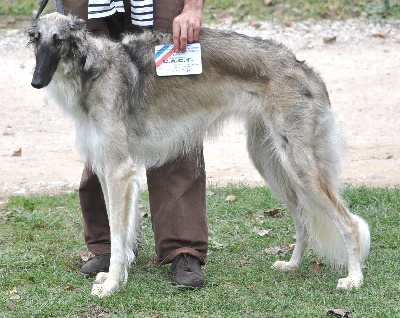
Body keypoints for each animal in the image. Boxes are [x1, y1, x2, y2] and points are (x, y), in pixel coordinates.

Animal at [27, 11, 368, 296]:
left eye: (58, 40)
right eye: (36, 40)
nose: (36, 81)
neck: (94, 69)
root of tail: (306, 70)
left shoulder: (119, 170)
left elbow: (117, 235)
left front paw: (111, 285)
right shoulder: (107, 169)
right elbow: (121, 233)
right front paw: (115, 275)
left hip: (298, 164)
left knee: (349, 223)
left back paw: (354, 279)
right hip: (270, 161)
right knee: (303, 220)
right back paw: (292, 264)